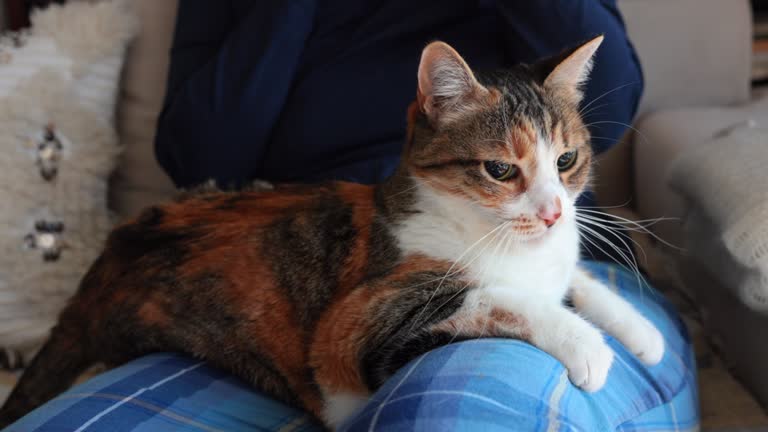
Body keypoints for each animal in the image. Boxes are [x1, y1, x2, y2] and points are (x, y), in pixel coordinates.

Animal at [0, 37, 664, 428]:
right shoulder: (355, 326)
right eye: (500, 170)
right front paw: (585, 345)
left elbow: (577, 278)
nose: (553, 212)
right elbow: (496, 296)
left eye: (567, 160)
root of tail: (111, 255)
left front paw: (642, 333)